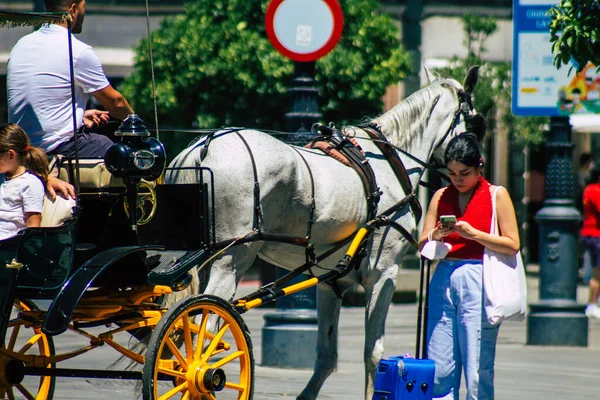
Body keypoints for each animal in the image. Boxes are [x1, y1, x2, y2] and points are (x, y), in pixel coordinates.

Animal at [165, 67, 482, 398]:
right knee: (206, 327)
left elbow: (327, 354)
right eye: (476, 123)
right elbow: (374, 353)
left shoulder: (332, 282)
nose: (476, 165)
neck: (391, 161)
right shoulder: (383, 273)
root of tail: (202, 149)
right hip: (232, 259)